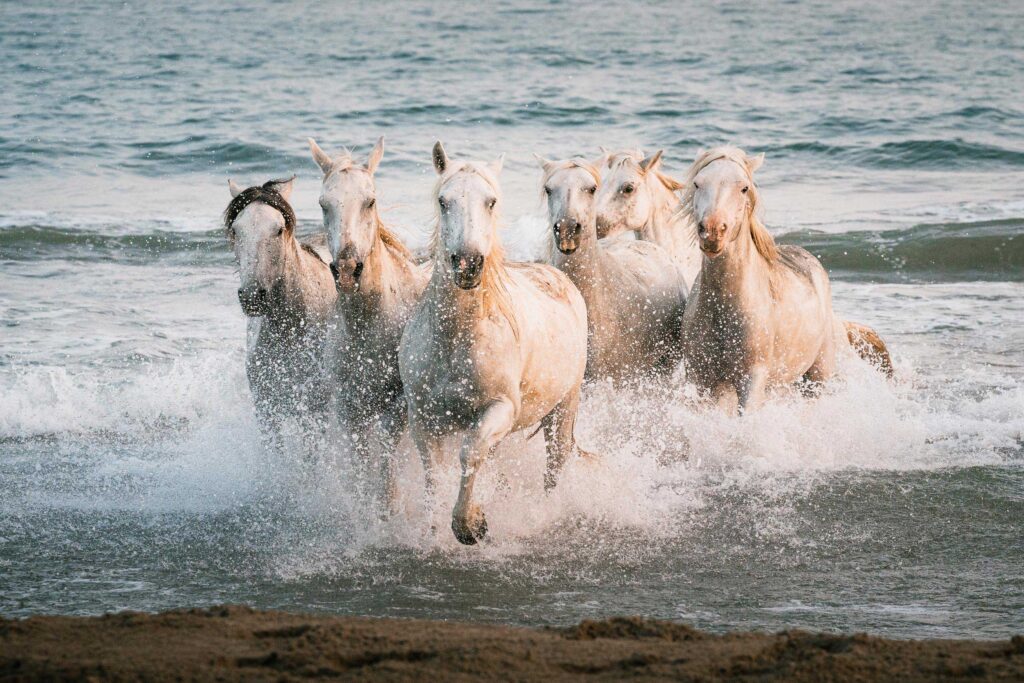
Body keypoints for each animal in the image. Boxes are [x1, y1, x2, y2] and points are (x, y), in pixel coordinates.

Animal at [308, 136, 429, 509]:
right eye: (323, 204)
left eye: (370, 201)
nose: (348, 271)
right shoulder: (349, 407)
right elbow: (360, 462)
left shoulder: (397, 406)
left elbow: (386, 459)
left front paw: (387, 507)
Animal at [399, 142, 590, 545]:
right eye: (443, 200)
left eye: (491, 201)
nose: (468, 263)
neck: (457, 339)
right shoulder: (423, 417)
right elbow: (432, 471)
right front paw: (433, 529)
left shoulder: (500, 409)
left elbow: (470, 454)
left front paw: (470, 525)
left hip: (565, 406)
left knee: (555, 463)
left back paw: (547, 513)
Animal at [678, 147, 892, 414]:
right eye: (697, 183)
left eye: (744, 188)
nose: (713, 232)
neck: (724, 307)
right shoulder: (703, 379)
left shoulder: (752, 378)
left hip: (818, 377)